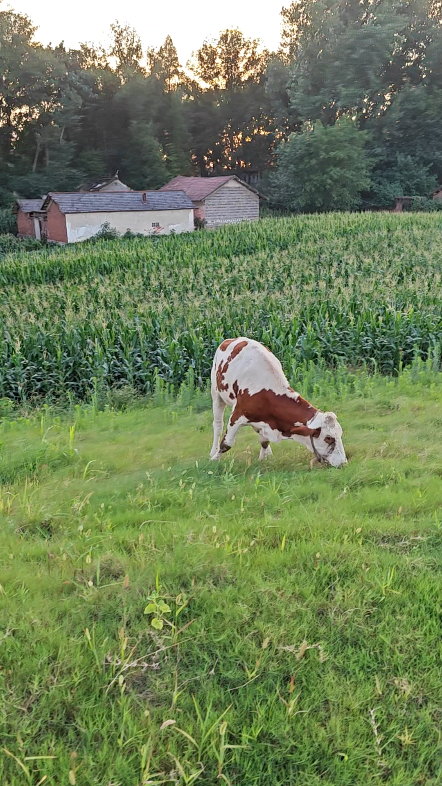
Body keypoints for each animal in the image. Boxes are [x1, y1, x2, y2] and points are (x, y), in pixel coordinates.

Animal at [211, 336, 348, 466]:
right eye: (328, 438)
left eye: (340, 434)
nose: (343, 463)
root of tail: (234, 339)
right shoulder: (237, 415)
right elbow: (226, 444)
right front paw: (214, 461)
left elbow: (264, 441)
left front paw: (262, 459)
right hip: (216, 394)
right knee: (218, 426)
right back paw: (213, 451)